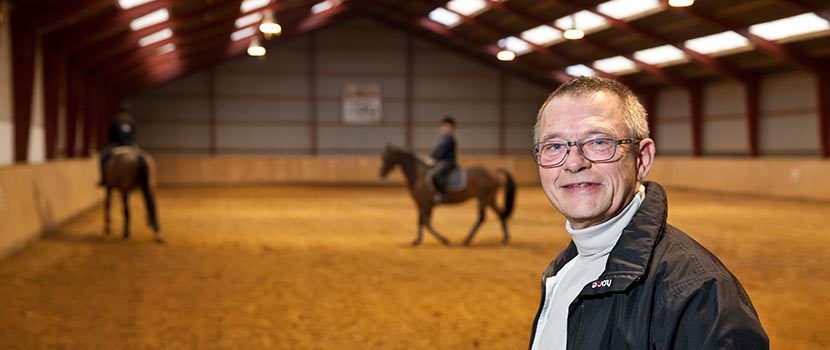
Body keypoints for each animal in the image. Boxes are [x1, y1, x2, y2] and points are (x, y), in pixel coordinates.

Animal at [382, 145, 512, 246]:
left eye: (385, 158)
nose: (381, 173)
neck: (419, 176)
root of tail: (495, 171)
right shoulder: (420, 203)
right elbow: (420, 221)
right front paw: (417, 241)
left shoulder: (426, 203)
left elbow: (427, 223)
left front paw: (444, 240)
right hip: (490, 198)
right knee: (500, 214)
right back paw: (504, 239)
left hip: (484, 198)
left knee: (482, 217)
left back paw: (467, 240)